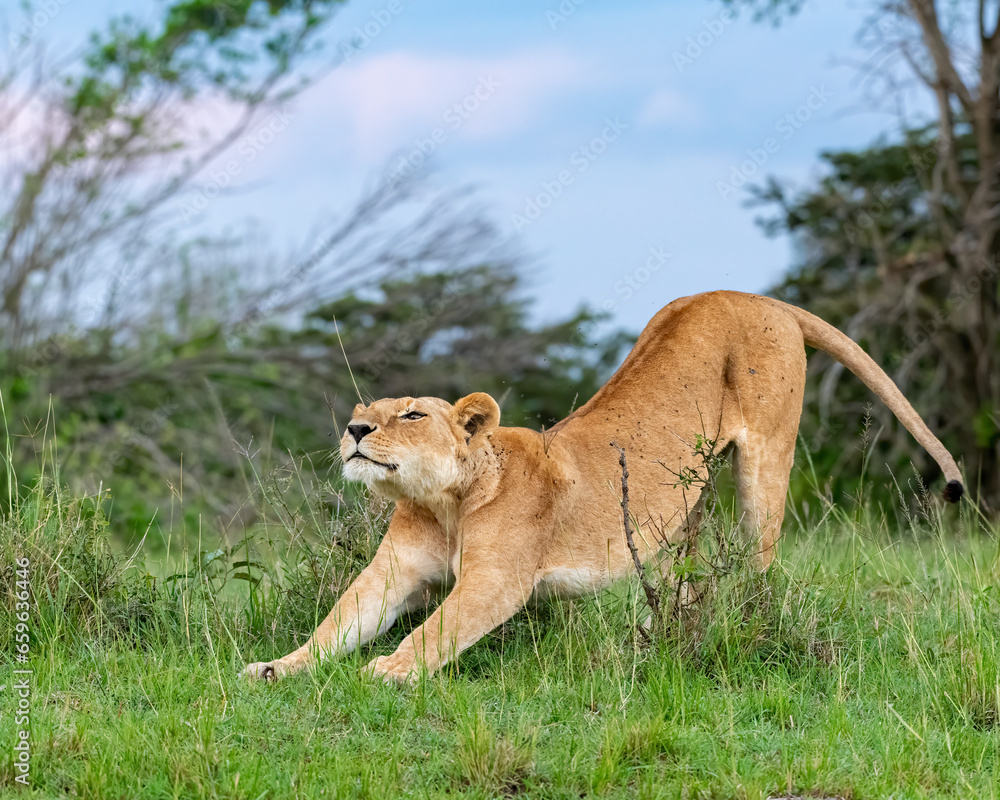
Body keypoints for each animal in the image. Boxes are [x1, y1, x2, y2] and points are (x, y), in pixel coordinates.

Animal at [244, 290, 963, 683]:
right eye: (367, 409)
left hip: (764, 461)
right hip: (685, 504)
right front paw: (278, 667)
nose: (354, 429)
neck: (441, 502)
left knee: (758, 562)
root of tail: (757, 297)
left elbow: (437, 629)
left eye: (412, 415)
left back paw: (745, 627)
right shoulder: (392, 572)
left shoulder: (498, 580)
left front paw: (387, 671)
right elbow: (339, 620)